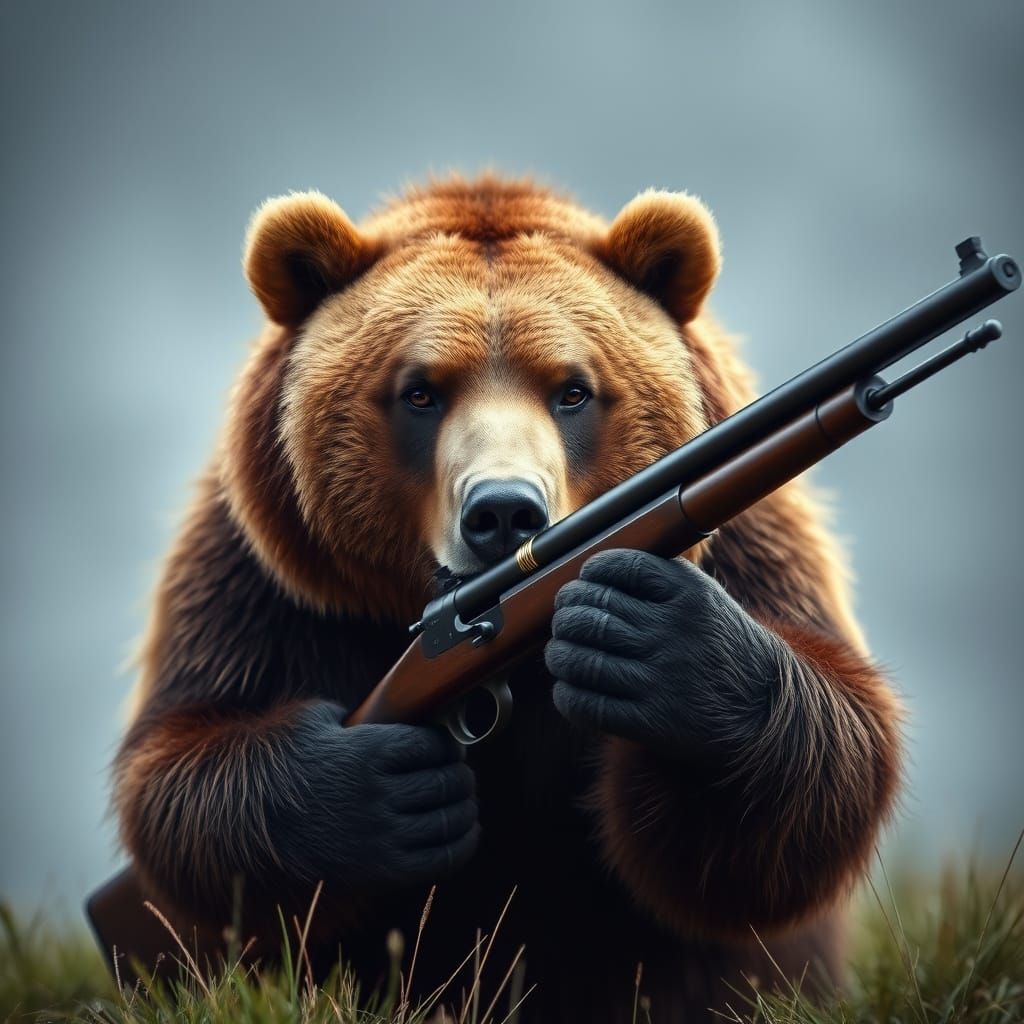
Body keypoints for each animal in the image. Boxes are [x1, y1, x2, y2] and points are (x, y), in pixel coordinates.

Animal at [112, 174, 903, 1022]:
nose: (502, 512)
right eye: (419, 392)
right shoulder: (265, 578)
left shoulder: (753, 543)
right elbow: (180, 768)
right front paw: (381, 794)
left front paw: (655, 643)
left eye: (574, 390)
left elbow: (815, 777)